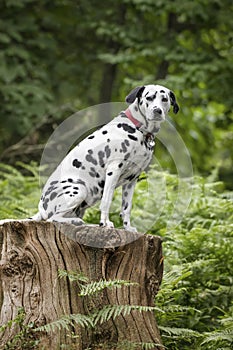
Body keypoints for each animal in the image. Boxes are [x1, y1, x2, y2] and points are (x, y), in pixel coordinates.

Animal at [0, 85, 179, 232]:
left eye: (164, 99)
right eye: (149, 97)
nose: (157, 111)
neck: (138, 129)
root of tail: (41, 209)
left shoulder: (132, 179)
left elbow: (126, 208)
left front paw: (127, 228)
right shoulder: (114, 170)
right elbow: (106, 201)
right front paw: (106, 223)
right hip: (78, 189)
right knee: (53, 219)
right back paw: (77, 222)